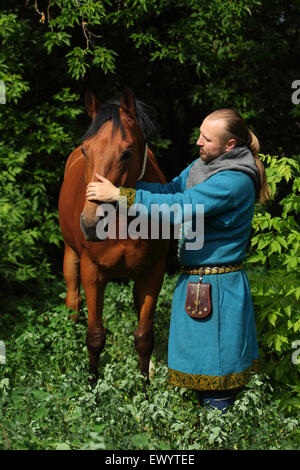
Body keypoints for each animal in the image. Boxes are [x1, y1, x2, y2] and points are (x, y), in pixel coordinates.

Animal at [57, 90, 168, 388]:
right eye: (86, 150)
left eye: (127, 152)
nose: (90, 222)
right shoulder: (92, 271)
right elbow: (95, 336)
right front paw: (92, 388)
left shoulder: (153, 272)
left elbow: (144, 337)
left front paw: (145, 388)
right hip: (71, 255)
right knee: (73, 301)